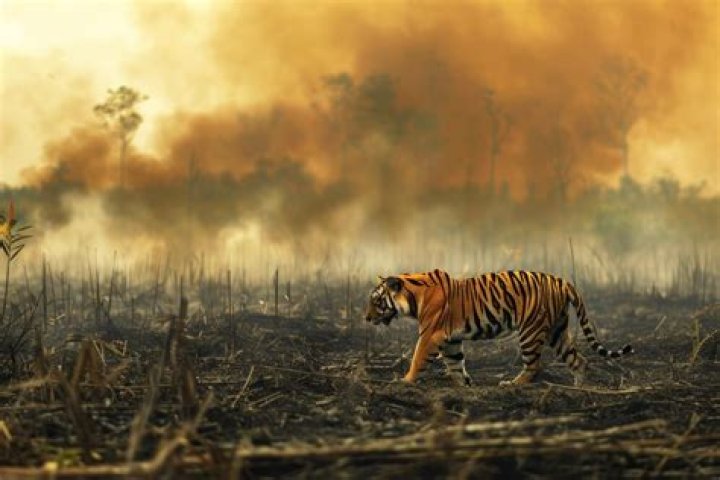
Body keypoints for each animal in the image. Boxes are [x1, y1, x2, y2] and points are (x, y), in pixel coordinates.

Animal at [364, 269, 633, 386]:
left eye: (376, 301)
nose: (366, 318)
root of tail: (562, 281)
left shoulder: (430, 334)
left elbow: (418, 357)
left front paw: (405, 381)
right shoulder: (451, 340)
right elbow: (455, 363)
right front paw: (464, 387)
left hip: (530, 330)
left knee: (534, 365)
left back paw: (513, 384)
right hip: (558, 331)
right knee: (578, 361)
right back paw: (579, 389)